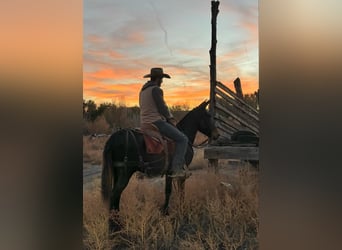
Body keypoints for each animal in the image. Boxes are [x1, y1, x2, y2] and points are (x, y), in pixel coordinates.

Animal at [101, 100, 219, 232]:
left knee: (115, 196)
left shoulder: (171, 173)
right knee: (114, 195)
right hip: (124, 173)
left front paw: (170, 210)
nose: (217, 134)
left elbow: (173, 190)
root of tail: (114, 137)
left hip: (118, 172)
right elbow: (175, 191)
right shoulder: (177, 173)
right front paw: (176, 210)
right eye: (208, 116)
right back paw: (114, 227)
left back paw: (116, 223)